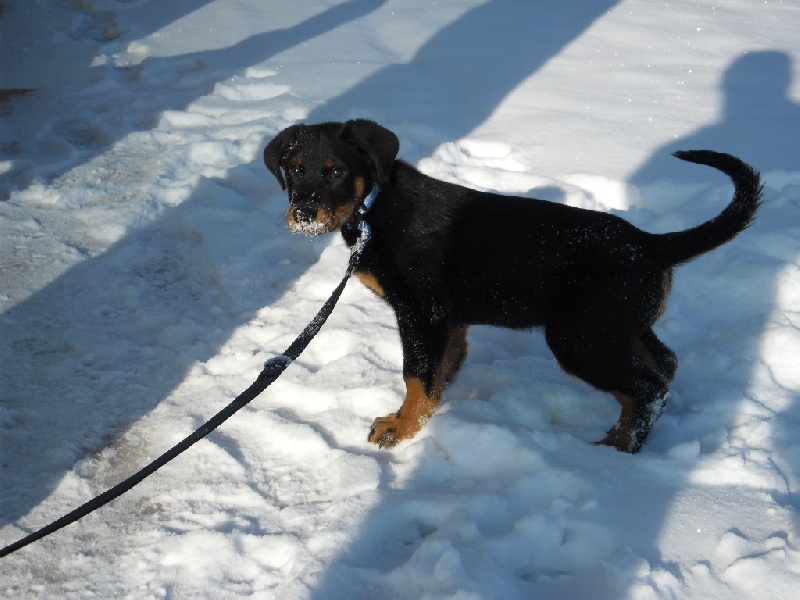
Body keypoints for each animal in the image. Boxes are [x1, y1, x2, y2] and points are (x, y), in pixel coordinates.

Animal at [264, 119, 762, 453]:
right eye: (295, 169)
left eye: (334, 172)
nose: (303, 215)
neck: (373, 206)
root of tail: (652, 244)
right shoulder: (447, 320)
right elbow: (440, 370)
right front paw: (427, 413)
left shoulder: (421, 313)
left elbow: (415, 373)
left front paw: (402, 428)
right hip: (619, 325)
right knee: (665, 366)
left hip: (581, 338)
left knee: (648, 388)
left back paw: (619, 449)